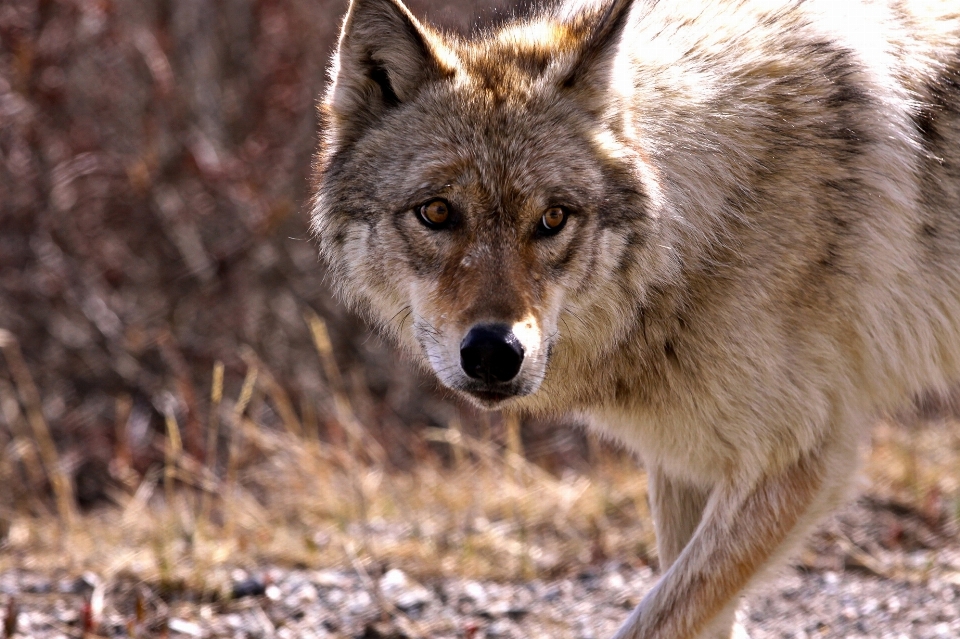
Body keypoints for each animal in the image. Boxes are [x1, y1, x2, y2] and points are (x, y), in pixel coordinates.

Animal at [312, 0, 960, 636]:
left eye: (553, 218)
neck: (705, 227)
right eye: (437, 211)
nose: (495, 353)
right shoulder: (687, 464)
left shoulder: (796, 462)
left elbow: (656, 621)